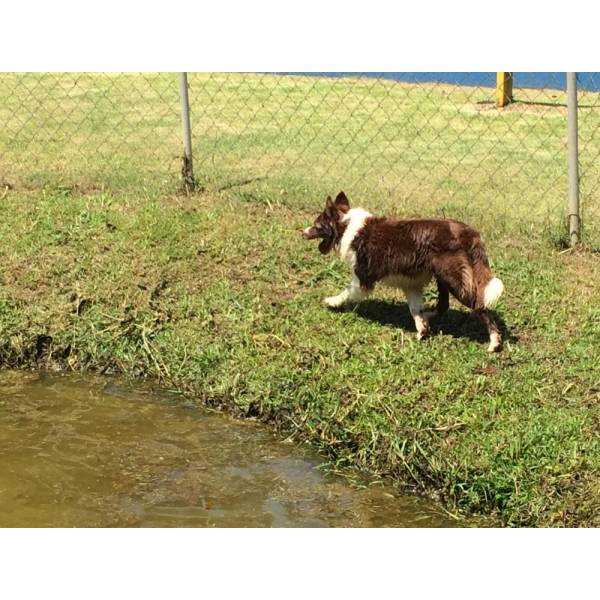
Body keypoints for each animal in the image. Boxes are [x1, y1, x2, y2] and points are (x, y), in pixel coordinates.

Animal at [302, 191, 504, 352]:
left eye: (317, 225)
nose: (302, 232)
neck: (346, 226)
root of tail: (469, 232)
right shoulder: (411, 283)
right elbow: (414, 309)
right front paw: (422, 329)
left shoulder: (363, 278)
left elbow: (347, 291)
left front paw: (332, 301)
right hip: (443, 275)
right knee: (444, 304)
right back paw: (428, 315)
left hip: (453, 278)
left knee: (480, 305)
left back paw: (494, 342)